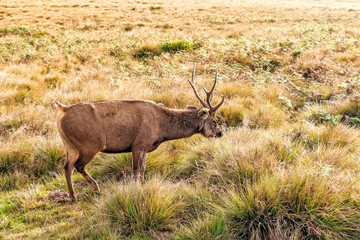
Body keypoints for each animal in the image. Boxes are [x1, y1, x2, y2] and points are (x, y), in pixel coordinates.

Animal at [55, 63, 225, 201]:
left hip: (70, 145)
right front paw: (135, 190)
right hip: (89, 144)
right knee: (78, 165)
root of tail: (62, 110)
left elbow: (143, 170)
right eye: (214, 120)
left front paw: (143, 186)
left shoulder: (145, 147)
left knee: (67, 166)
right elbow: (136, 171)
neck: (161, 128)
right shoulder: (139, 144)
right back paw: (96, 189)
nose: (221, 132)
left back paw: (73, 196)